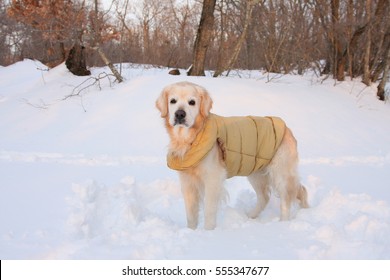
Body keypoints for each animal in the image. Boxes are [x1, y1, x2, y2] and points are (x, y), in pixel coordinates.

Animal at [155, 81, 308, 230]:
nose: (180, 114)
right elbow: (191, 214)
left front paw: (208, 232)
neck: (191, 138)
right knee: (266, 196)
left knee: (290, 196)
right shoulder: (187, 181)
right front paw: (191, 231)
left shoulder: (213, 178)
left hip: (280, 172)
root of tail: (286, 127)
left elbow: (209, 210)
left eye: (192, 102)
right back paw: (251, 216)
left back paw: (284, 223)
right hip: (256, 171)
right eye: (173, 101)